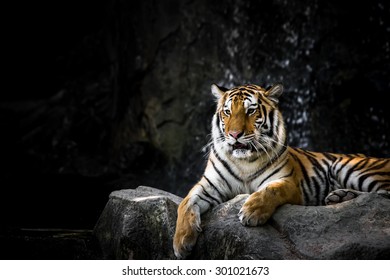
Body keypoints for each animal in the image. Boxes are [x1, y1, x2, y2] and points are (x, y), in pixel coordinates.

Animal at [174, 82, 390, 258]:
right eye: (227, 112)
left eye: (250, 111)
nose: (234, 134)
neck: (244, 161)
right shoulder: (210, 185)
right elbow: (185, 204)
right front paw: (181, 242)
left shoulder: (288, 182)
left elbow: (270, 191)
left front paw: (251, 212)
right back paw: (340, 197)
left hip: (350, 167)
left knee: (382, 196)